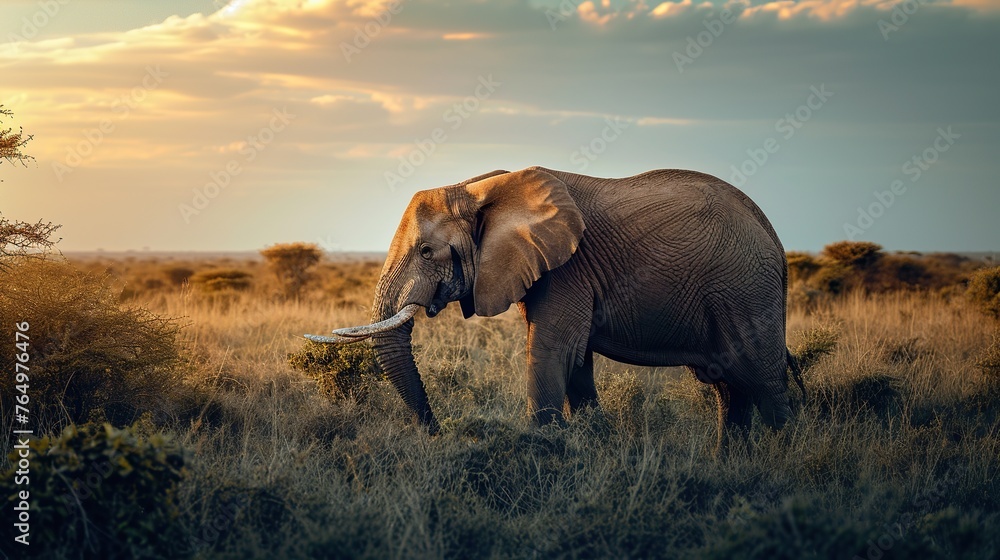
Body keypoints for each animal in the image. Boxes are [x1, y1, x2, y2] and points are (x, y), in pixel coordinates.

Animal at [307, 166, 805, 451]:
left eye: (427, 251)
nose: (436, 432)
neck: (483, 186)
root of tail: (775, 238)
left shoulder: (568, 268)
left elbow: (551, 352)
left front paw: (543, 450)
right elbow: (577, 361)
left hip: (745, 290)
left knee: (763, 382)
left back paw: (785, 467)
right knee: (729, 388)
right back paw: (730, 465)